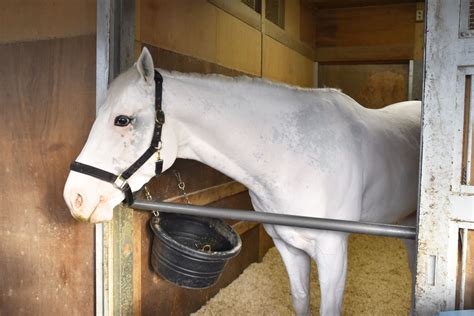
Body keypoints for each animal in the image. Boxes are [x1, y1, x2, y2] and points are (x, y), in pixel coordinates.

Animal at [64, 47, 422, 316]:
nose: (75, 197)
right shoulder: (288, 245)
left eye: (122, 120)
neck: (297, 159)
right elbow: (301, 301)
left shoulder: (333, 250)